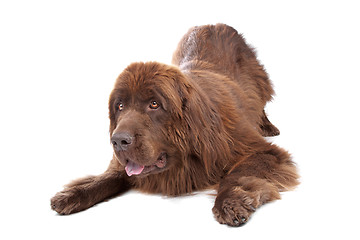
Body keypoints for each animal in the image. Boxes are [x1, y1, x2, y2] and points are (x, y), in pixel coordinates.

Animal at [50, 23, 298, 226]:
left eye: (154, 104)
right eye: (119, 106)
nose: (118, 141)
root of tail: (213, 23)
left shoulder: (258, 150)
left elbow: (238, 173)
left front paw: (230, 202)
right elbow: (109, 177)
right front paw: (72, 194)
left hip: (259, 80)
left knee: (261, 101)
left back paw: (269, 127)